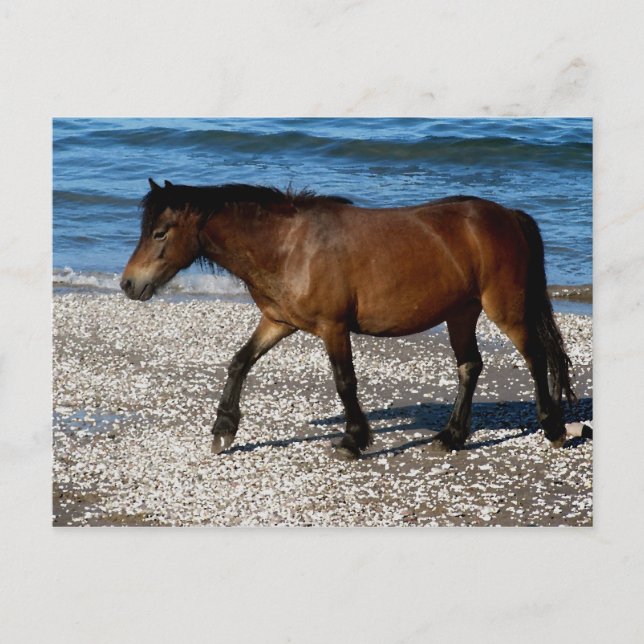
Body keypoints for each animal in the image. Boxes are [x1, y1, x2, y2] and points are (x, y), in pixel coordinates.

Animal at [120, 178, 574, 460]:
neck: (288, 247)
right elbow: (240, 362)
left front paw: (352, 440)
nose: (128, 284)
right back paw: (450, 437)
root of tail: (509, 216)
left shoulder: (333, 328)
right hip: (460, 313)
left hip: (504, 309)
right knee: (470, 366)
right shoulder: (278, 323)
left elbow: (344, 382)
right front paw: (223, 429)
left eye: (160, 232)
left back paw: (552, 427)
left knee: (535, 358)